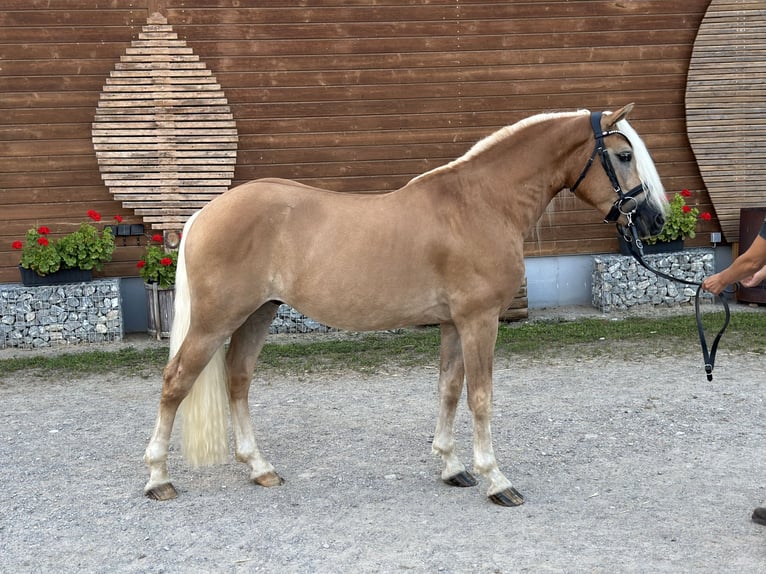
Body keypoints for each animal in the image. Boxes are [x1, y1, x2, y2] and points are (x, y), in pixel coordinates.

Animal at [144, 106, 664, 506]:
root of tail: (205, 212)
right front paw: (497, 480)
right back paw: (158, 478)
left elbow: (449, 390)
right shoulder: (479, 321)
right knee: (175, 382)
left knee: (237, 379)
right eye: (623, 155)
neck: (480, 204)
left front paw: (452, 467)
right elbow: (480, 397)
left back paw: (259, 467)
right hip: (216, 320)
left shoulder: (454, 324)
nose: (656, 220)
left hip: (259, 313)